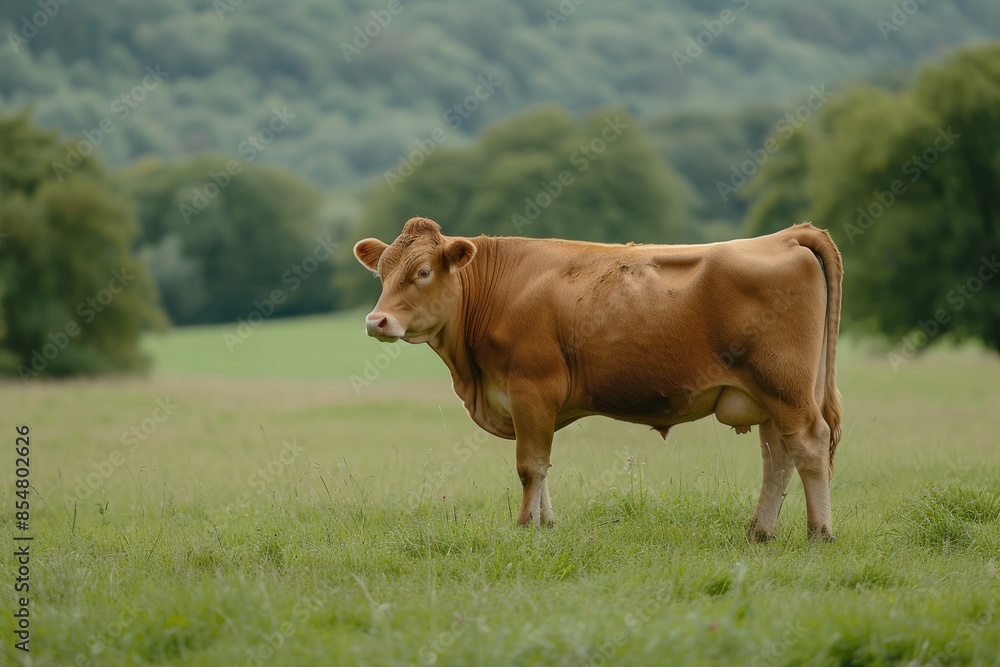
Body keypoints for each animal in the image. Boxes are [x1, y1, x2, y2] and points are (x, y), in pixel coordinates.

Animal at [354, 217, 843, 541]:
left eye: (422, 272)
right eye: (382, 273)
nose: (376, 322)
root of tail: (785, 235)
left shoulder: (531, 388)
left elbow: (530, 466)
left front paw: (523, 528)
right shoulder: (527, 403)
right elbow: (542, 467)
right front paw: (546, 525)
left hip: (786, 387)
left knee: (808, 445)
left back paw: (819, 533)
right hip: (770, 396)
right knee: (777, 458)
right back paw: (761, 531)